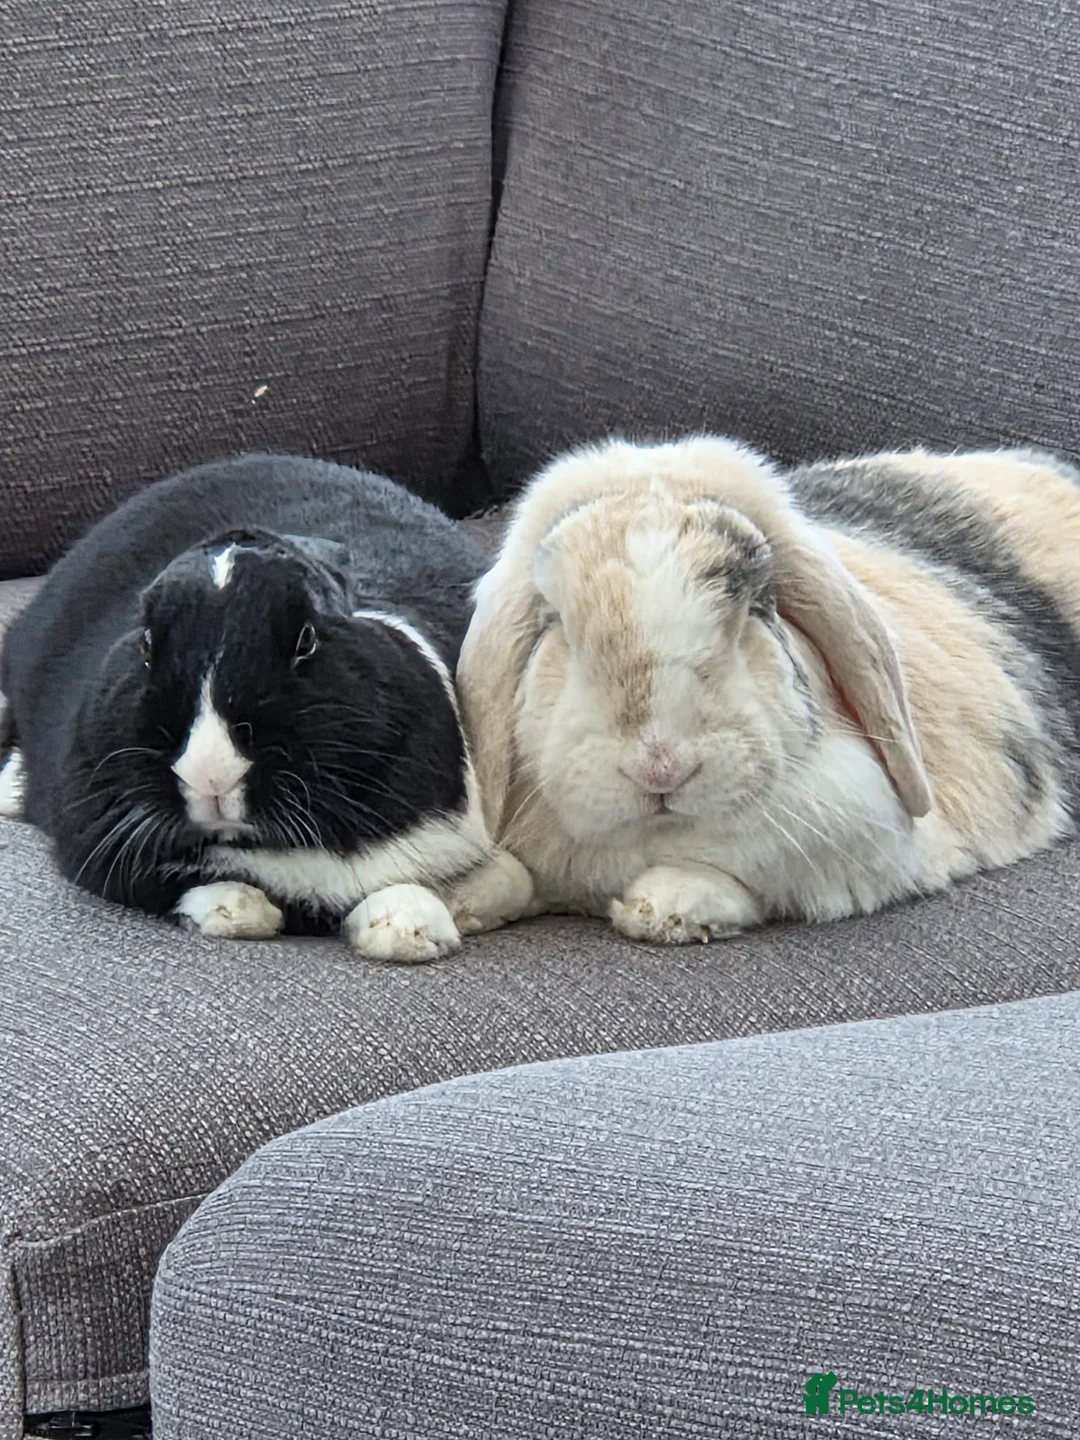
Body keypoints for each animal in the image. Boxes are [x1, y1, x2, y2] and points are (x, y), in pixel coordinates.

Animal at [0, 453, 532, 962]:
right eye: (147, 643)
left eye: (306, 639)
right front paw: (235, 909)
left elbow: (505, 879)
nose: (211, 778)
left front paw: (408, 928)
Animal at [455, 435, 1080, 944]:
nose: (660, 766)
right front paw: (462, 903)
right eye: (555, 622)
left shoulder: (859, 849)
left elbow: (753, 884)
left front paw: (664, 906)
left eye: (758, 607)